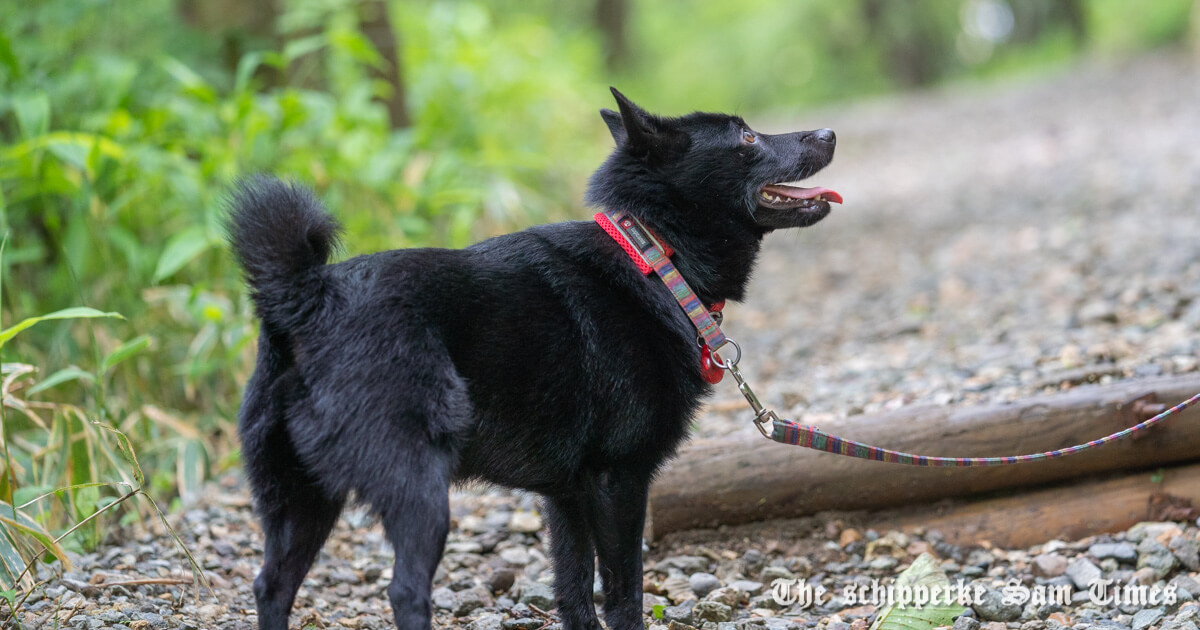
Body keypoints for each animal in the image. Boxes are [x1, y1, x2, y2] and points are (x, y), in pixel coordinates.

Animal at [229, 88, 840, 628]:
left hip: (302, 500)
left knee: (272, 587)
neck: (654, 257)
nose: (830, 132)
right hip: (417, 490)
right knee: (404, 591)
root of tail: (310, 298)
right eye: (746, 136)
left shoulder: (566, 495)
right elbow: (624, 594)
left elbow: (575, 592)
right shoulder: (619, 482)